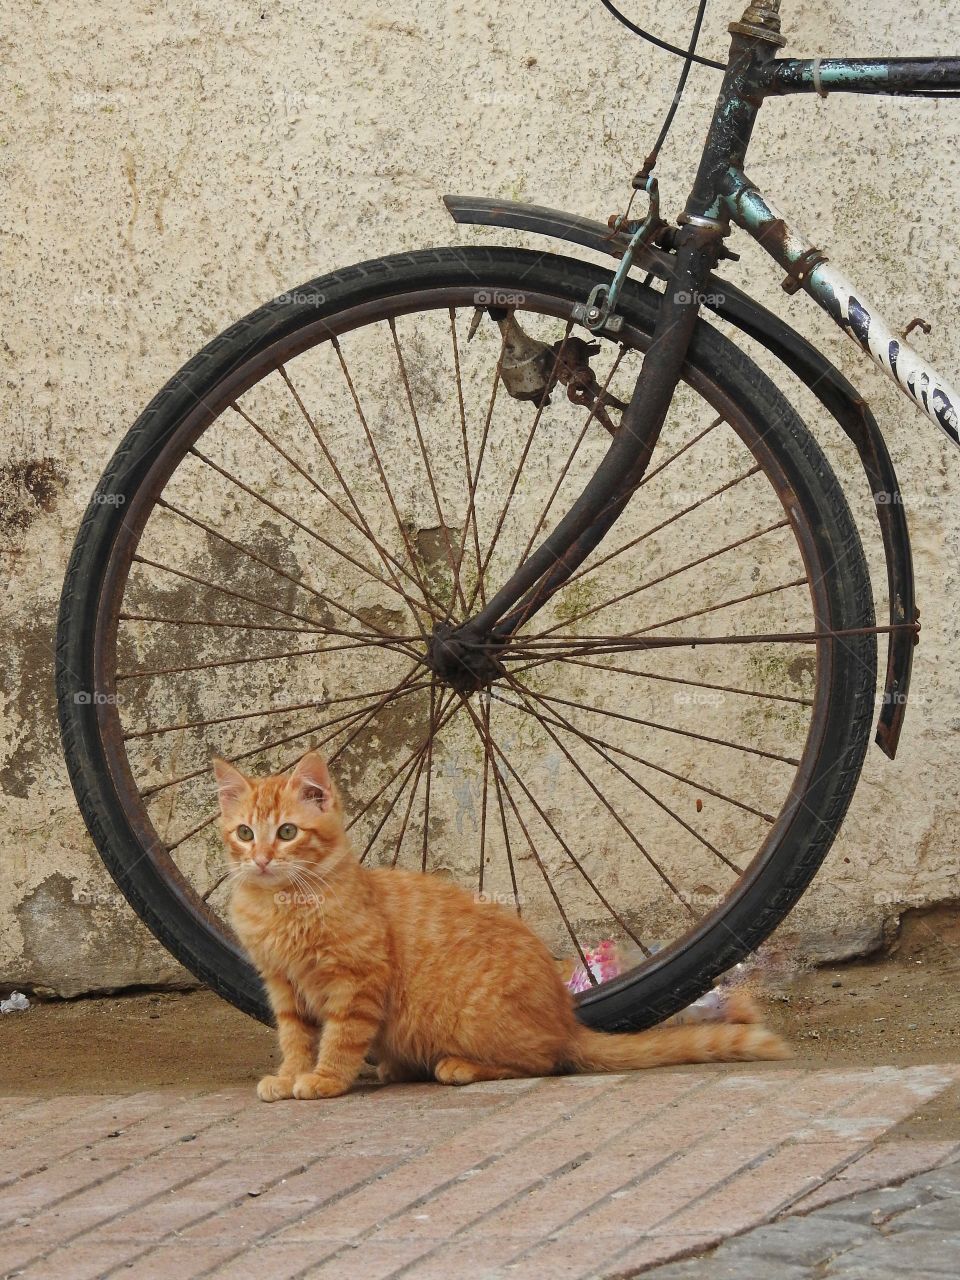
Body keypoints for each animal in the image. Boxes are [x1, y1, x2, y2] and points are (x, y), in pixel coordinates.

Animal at [213, 747, 793, 1100]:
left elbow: (338, 1038)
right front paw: (291, 1075)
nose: (260, 858)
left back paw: (459, 1066)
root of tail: (565, 1020)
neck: (283, 903)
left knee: (542, 1062)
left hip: (472, 1019)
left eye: (288, 832)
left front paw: (325, 1079)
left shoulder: (357, 982)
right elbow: (294, 1037)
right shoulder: (283, 986)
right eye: (244, 832)